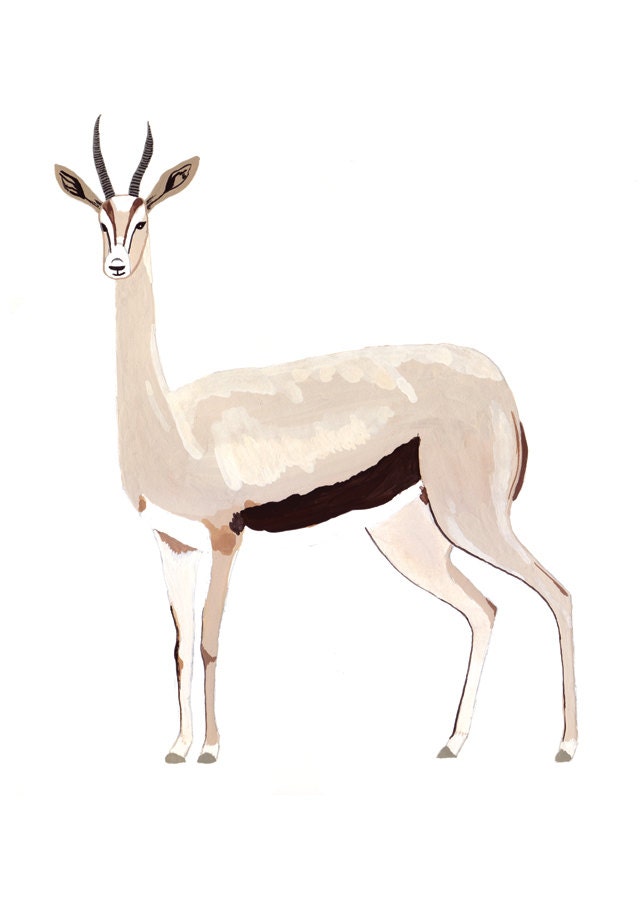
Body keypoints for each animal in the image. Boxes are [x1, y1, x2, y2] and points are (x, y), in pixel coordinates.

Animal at [54, 118, 577, 764]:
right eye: (100, 220)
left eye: (144, 217)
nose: (117, 264)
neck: (174, 427)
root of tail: (501, 385)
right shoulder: (171, 543)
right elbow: (176, 647)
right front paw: (176, 747)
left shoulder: (225, 536)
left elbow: (208, 640)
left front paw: (211, 749)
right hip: (407, 535)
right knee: (485, 608)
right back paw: (453, 743)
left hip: (472, 518)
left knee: (558, 593)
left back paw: (566, 744)